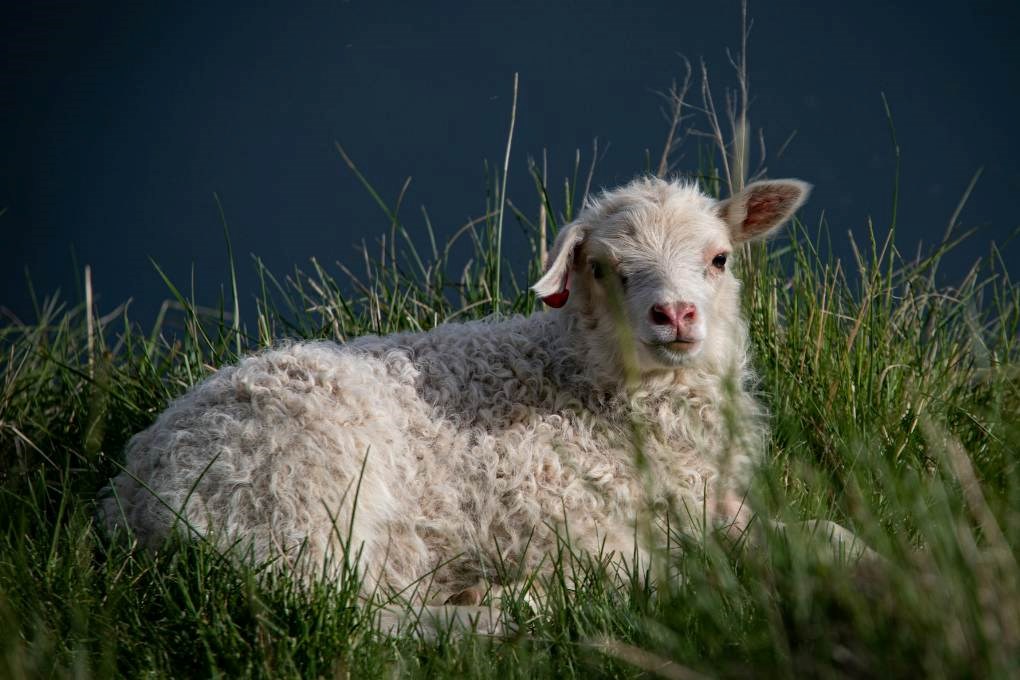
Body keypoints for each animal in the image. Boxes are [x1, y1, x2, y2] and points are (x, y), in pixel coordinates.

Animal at [97, 177, 811, 628]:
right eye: (604, 269)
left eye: (719, 259)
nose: (676, 315)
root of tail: (134, 486)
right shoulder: (564, 519)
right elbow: (642, 571)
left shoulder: (713, 499)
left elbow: (805, 533)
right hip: (296, 497)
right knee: (343, 615)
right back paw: (497, 615)